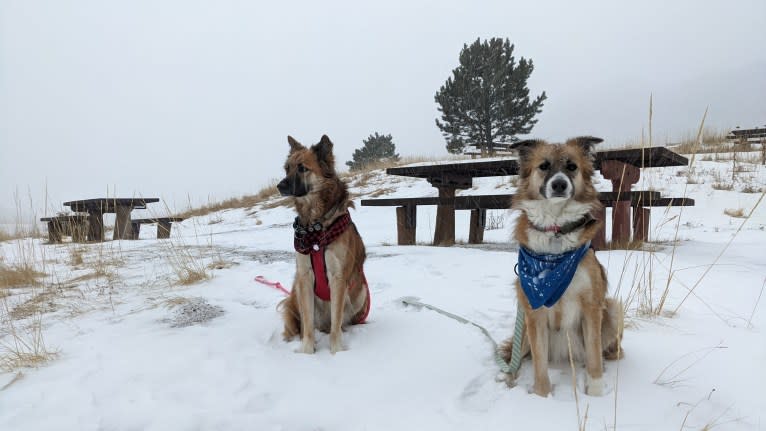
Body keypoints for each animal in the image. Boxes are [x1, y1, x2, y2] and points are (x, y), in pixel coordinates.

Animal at [278, 134, 370, 354]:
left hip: (360, 291)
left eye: (302, 168)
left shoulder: (338, 277)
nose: (280, 186)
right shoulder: (304, 276)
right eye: (287, 168)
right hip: (295, 292)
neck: (316, 229)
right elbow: (307, 324)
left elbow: (336, 323)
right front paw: (307, 352)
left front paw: (336, 352)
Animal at [504, 137, 624, 396]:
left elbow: (593, 354)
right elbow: (539, 363)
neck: (556, 232)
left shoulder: (591, 305)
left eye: (572, 167)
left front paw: (595, 392)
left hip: (612, 308)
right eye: (543, 166)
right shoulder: (534, 310)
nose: (559, 184)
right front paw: (542, 396)